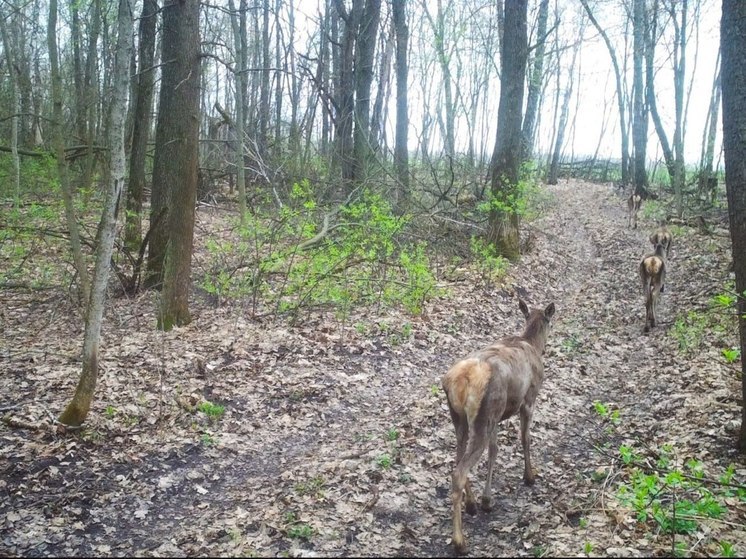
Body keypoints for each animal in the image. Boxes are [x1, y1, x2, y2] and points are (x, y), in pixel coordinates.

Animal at [438, 300, 556, 552]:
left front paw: (486, 499)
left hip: (461, 419)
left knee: (458, 459)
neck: (532, 342)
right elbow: (525, 438)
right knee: (459, 472)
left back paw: (471, 503)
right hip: (482, 417)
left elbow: (495, 451)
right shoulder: (529, 399)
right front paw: (529, 476)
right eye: (550, 322)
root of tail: (460, 381)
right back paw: (460, 541)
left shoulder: (497, 417)